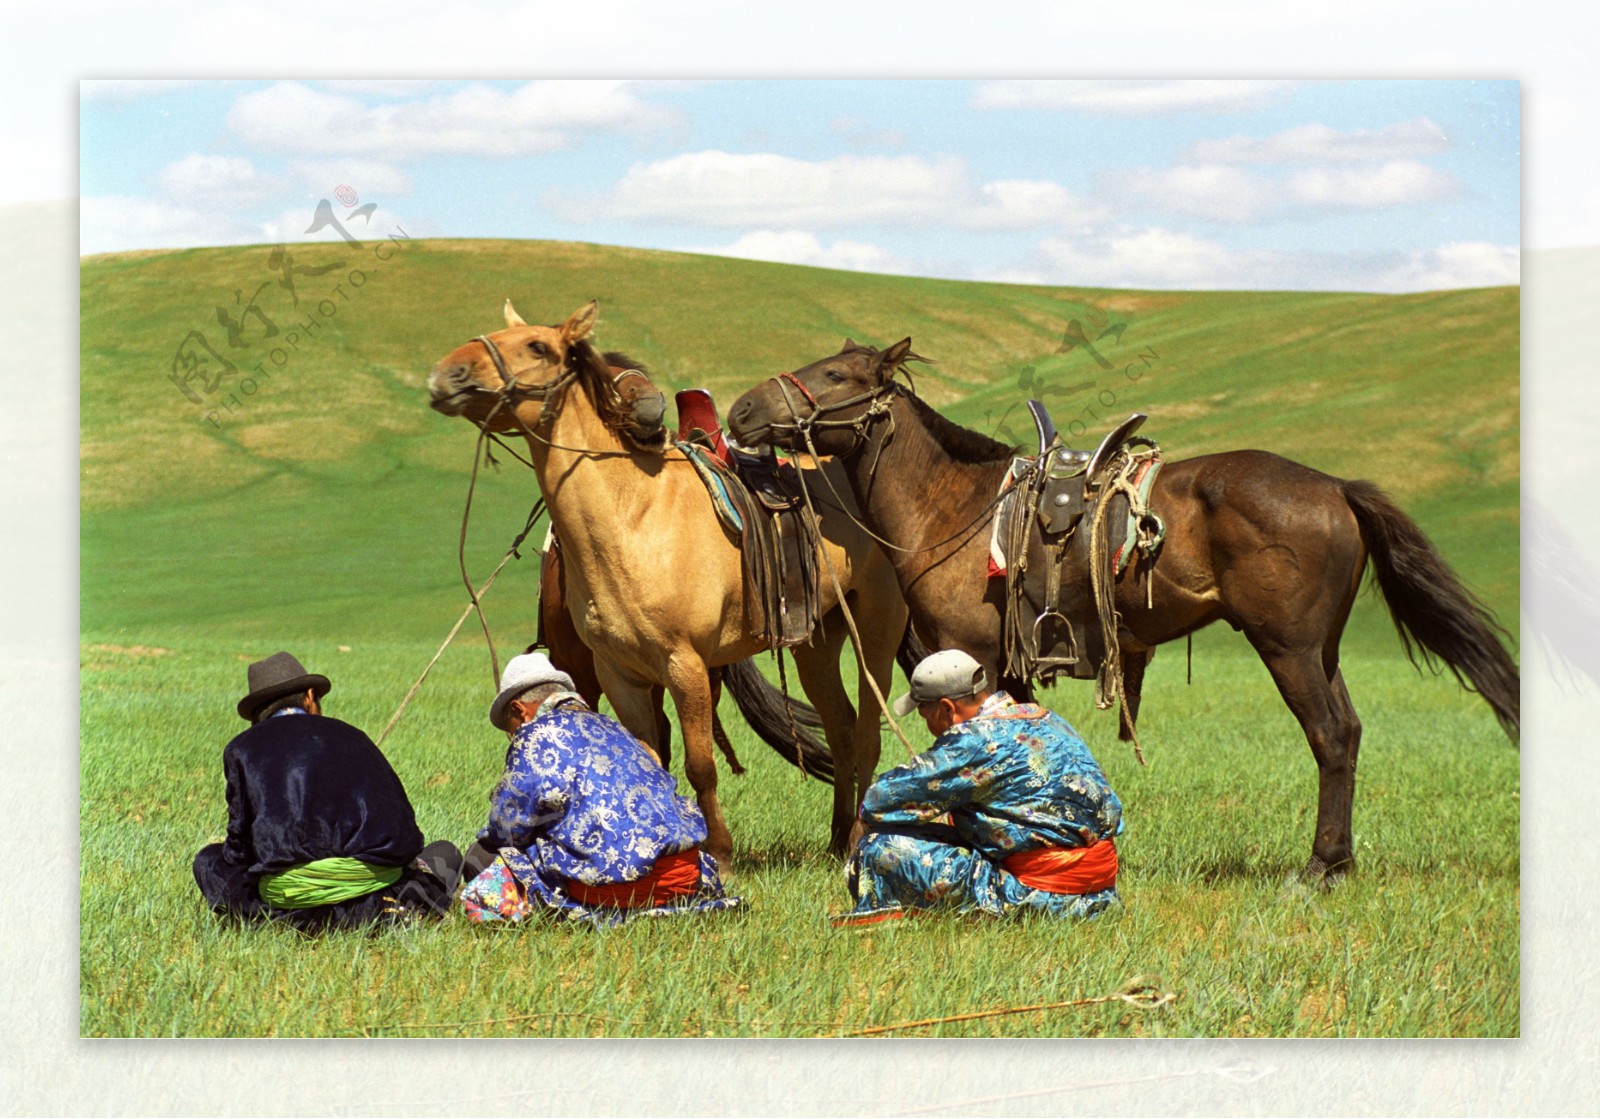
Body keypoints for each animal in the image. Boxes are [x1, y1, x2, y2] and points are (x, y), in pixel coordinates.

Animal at [428, 302, 915, 864]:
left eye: (536, 347)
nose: (447, 374)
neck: (633, 517)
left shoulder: (686, 668)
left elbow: (700, 765)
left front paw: (720, 852)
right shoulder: (620, 675)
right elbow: (647, 757)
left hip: (875, 633)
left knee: (867, 734)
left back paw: (856, 837)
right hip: (815, 642)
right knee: (839, 726)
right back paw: (836, 838)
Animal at [732, 337, 1516, 877]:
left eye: (837, 376)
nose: (741, 410)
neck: (955, 507)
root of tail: (1334, 488)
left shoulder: (969, 652)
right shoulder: (1008, 662)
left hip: (1286, 648)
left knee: (1328, 736)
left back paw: (1319, 867)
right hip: (1322, 650)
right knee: (1349, 731)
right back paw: (1341, 860)